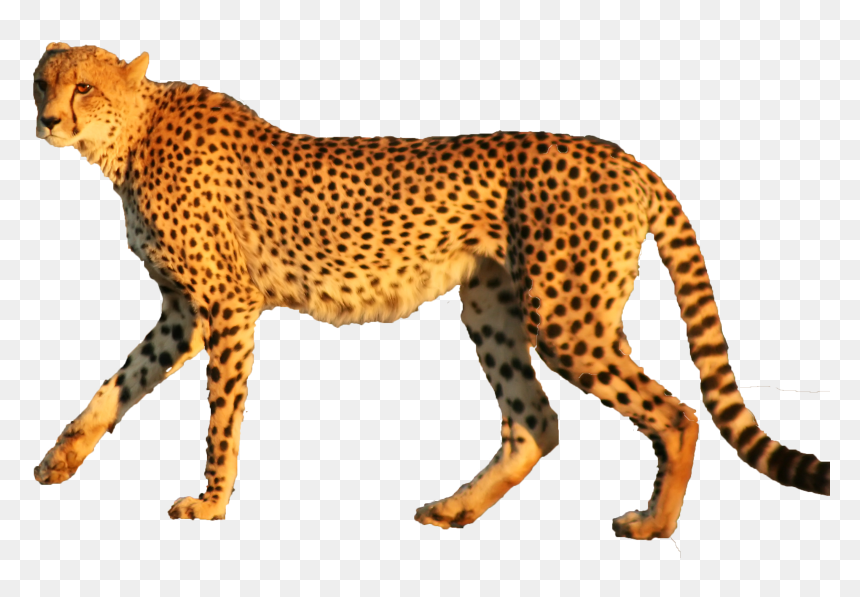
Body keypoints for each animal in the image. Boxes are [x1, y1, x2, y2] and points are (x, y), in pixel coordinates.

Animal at [31, 43, 829, 539]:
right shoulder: (183, 312)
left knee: (677, 412)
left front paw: (211, 500)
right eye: (43, 82)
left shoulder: (226, 306)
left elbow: (221, 416)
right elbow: (118, 385)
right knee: (535, 422)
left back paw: (655, 523)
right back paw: (456, 508)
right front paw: (61, 458)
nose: (46, 119)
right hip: (492, 306)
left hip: (566, 317)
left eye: (84, 87)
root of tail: (623, 155)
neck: (132, 133)